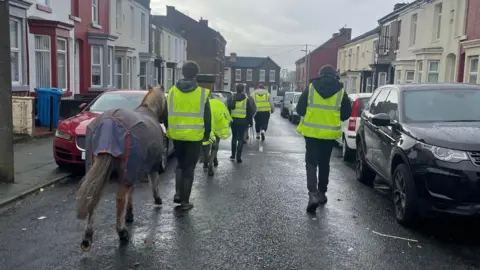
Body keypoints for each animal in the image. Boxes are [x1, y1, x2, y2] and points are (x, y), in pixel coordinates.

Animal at [75, 86, 165, 251]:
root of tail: (110, 122)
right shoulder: (149, 166)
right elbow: (153, 183)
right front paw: (157, 200)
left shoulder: (133, 171)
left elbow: (131, 193)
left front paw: (129, 214)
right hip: (126, 170)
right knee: (119, 198)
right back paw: (122, 233)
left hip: (96, 167)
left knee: (94, 197)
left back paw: (87, 237)